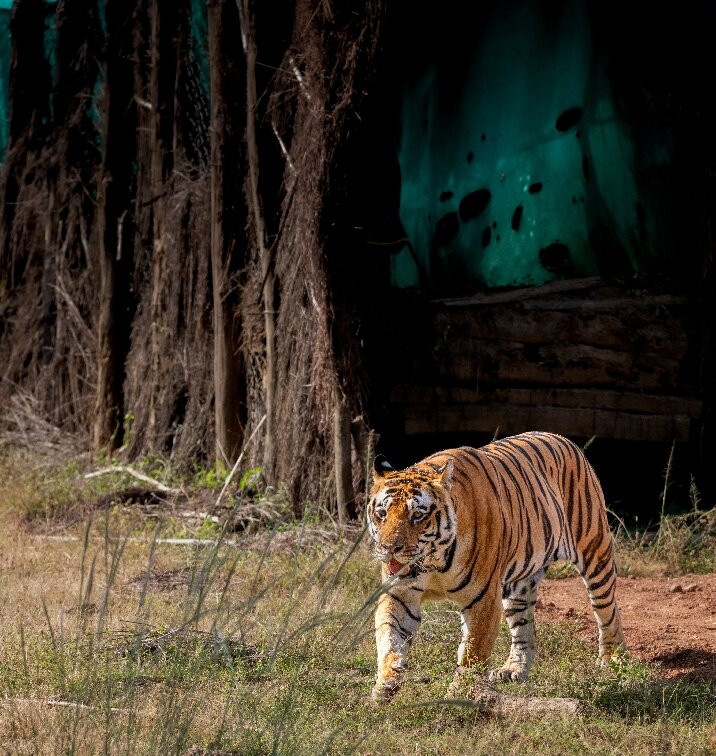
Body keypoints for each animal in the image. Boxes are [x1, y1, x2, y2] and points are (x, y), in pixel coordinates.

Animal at [366, 431, 626, 702]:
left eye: (417, 515)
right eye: (382, 514)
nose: (389, 547)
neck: (434, 563)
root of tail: (563, 438)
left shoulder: (483, 600)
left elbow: (473, 652)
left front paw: (459, 694)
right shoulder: (399, 595)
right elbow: (389, 638)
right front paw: (386, 684)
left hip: (595, 551)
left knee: (608, 610)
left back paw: (612, 661)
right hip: (519, 588)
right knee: (524, 630)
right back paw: (513, 670)